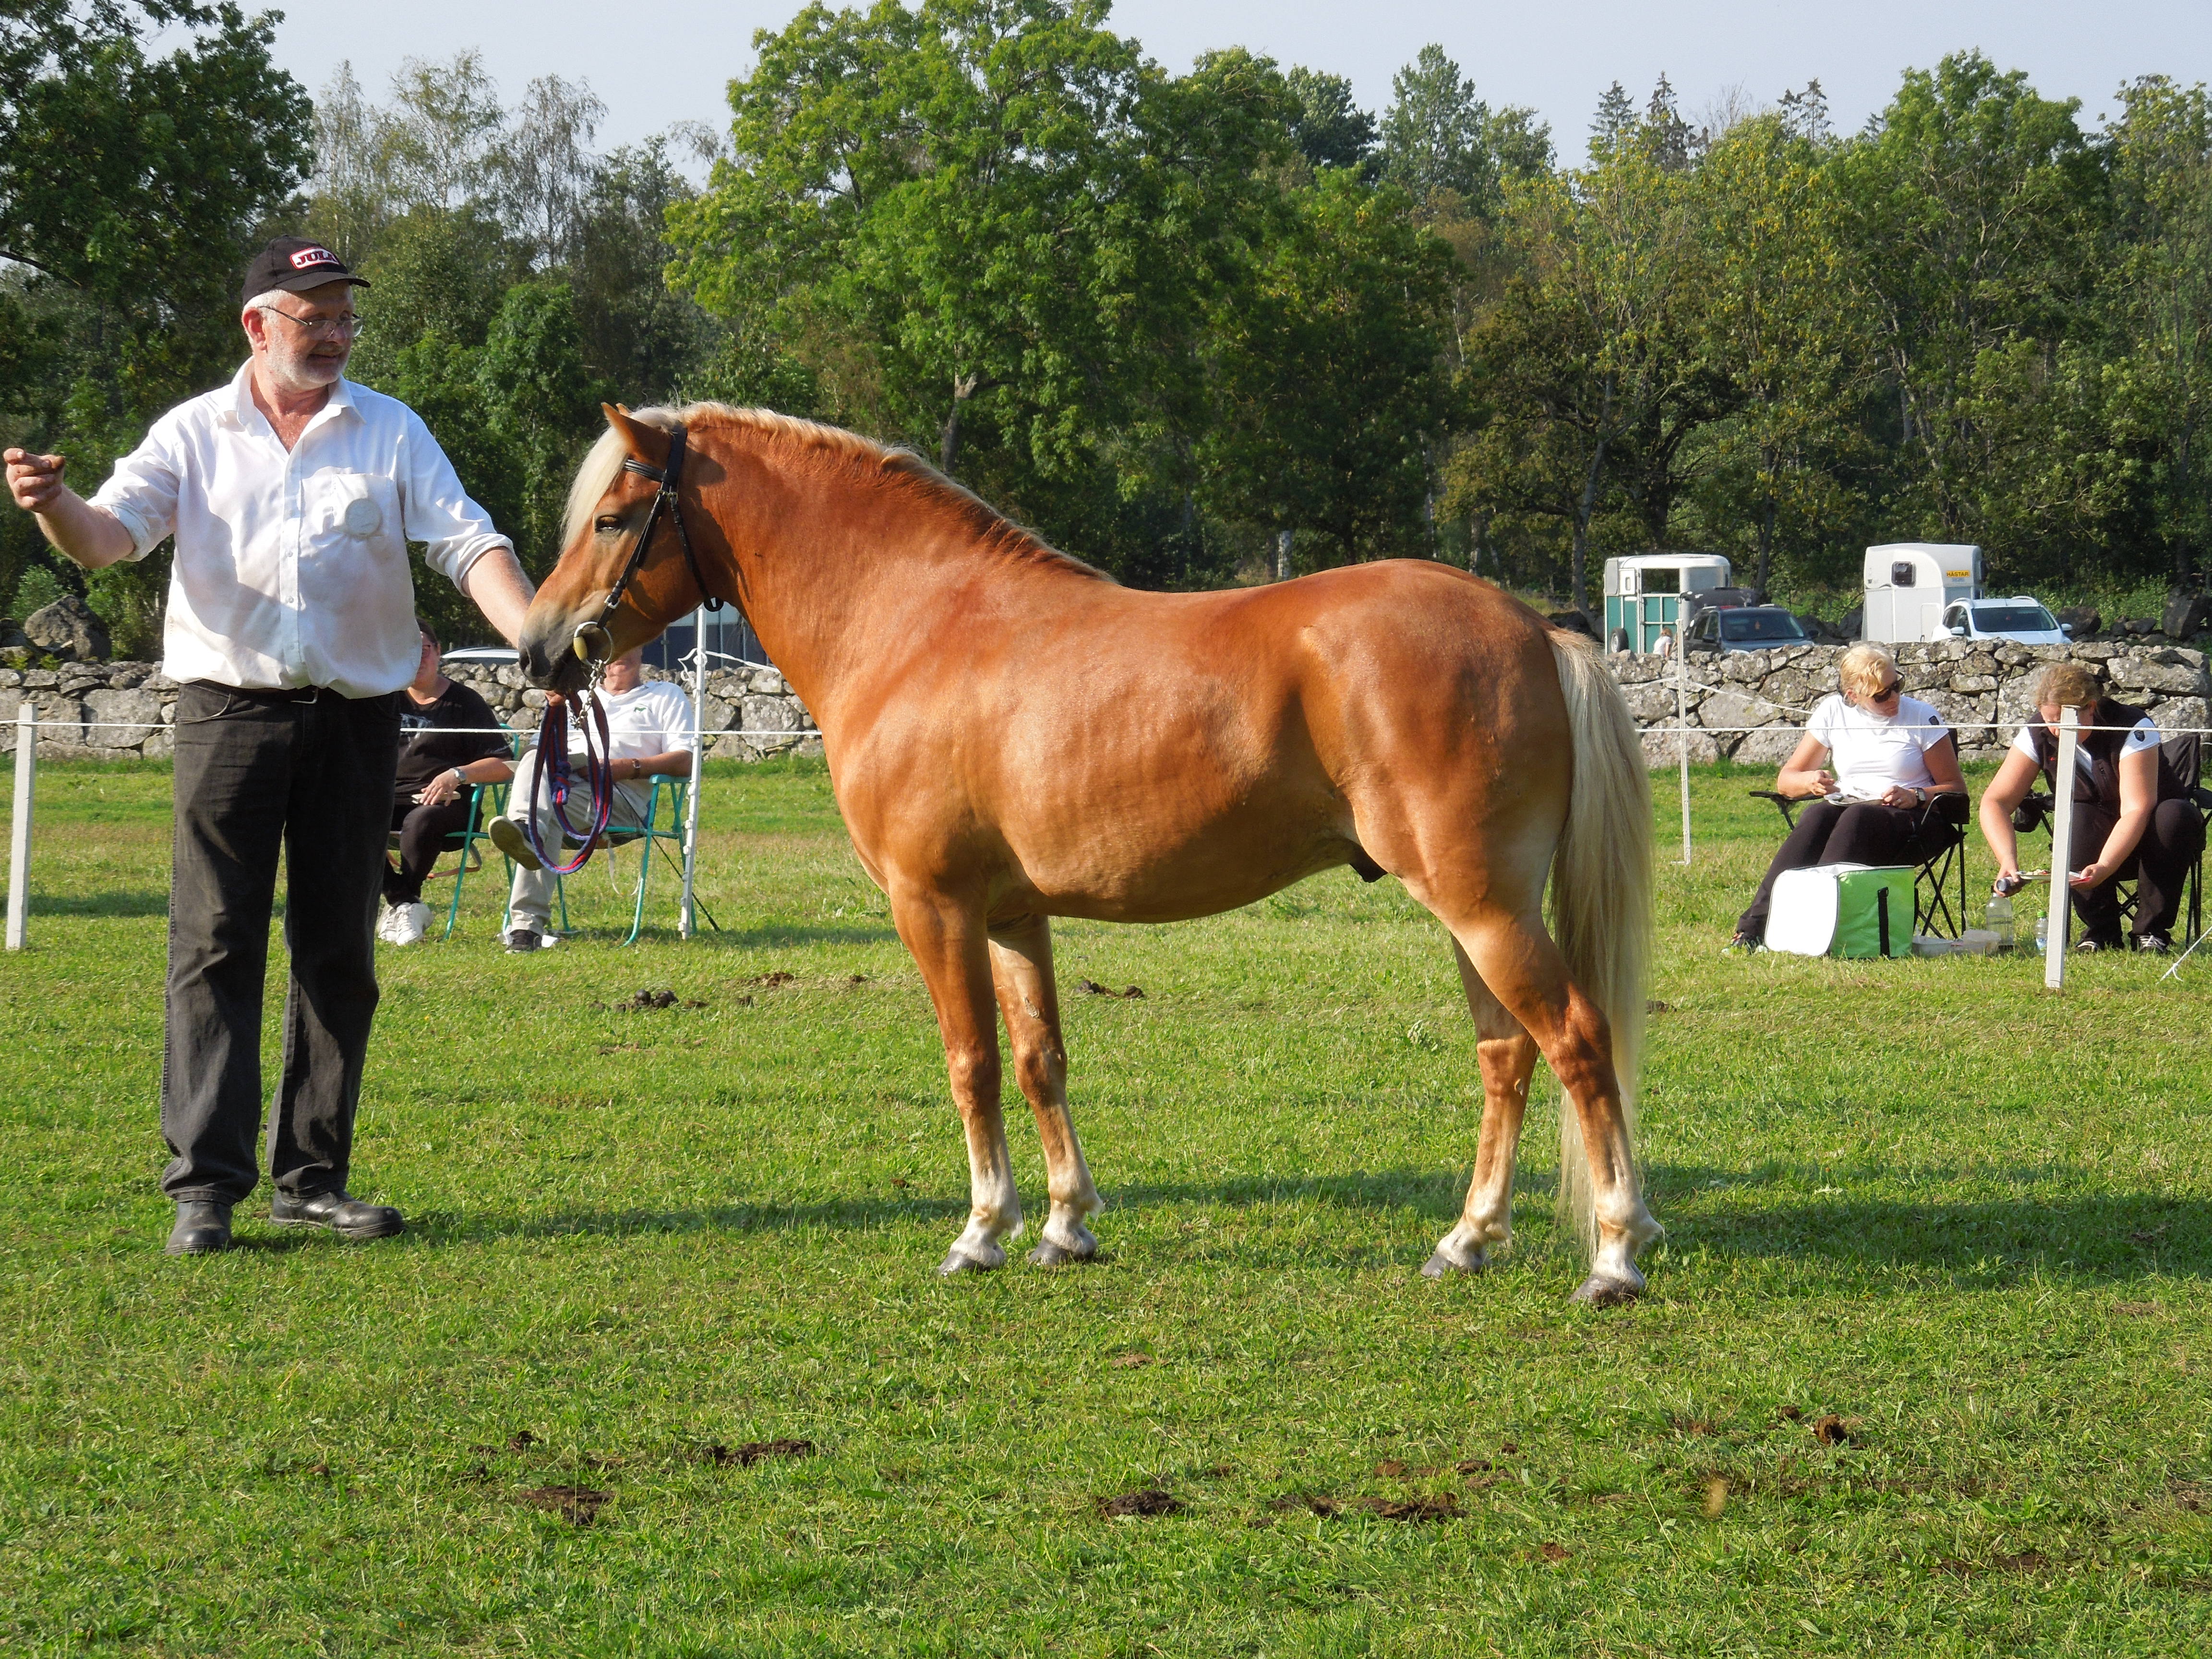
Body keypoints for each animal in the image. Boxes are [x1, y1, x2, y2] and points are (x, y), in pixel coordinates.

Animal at [517, 400, 1663, 1300]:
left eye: (613, 520)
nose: (536, 647)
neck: (918, 625)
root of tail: (1535, 628)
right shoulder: (1013, 913)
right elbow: (1039, 1059)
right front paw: (1065, 1227)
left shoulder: (934, 905)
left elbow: (971, 1063)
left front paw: (981, 1231)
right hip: (1476, 911)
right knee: (1507, 1055)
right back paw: (1466, 1240)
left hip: (1483, 905)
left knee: (1576, 1039)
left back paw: (1614, 1255)